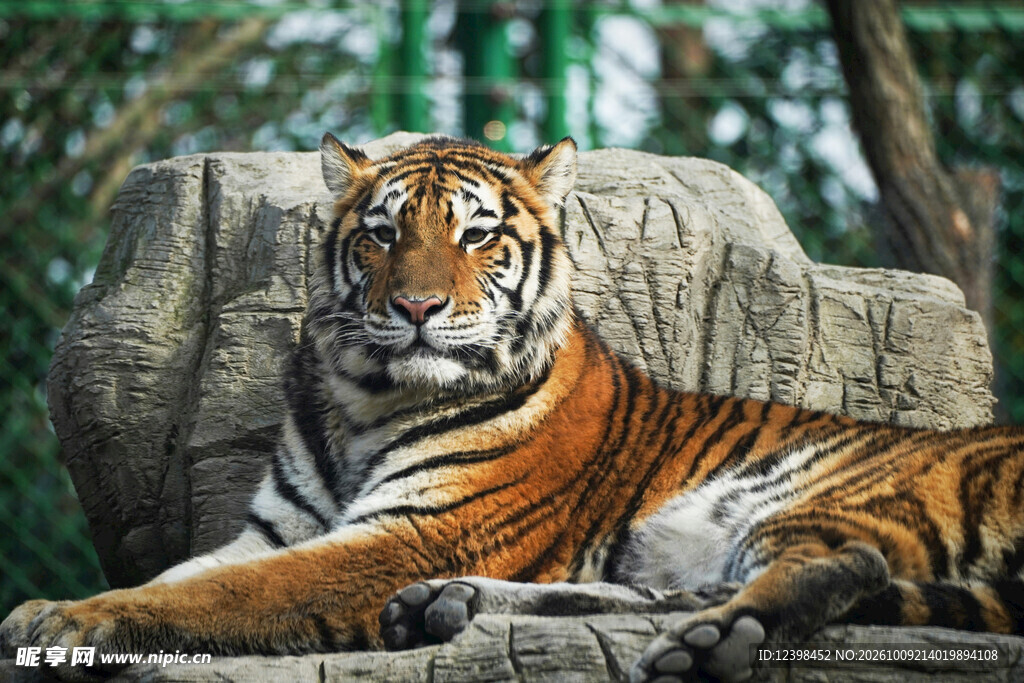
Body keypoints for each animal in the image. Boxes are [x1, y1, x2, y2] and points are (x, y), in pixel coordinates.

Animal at [3, 134, 1024, 683]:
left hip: (822, 485)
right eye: (383, 235)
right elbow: (188, 575)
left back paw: (715, 643)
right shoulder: (277, 528)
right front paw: (54, 608)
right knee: (681, 588)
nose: (417, 307)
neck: (364, 400)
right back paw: (444, 608)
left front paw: (69, 623)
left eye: (476, 234)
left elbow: (224, 591)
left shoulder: (415, 530)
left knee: (839, 562)